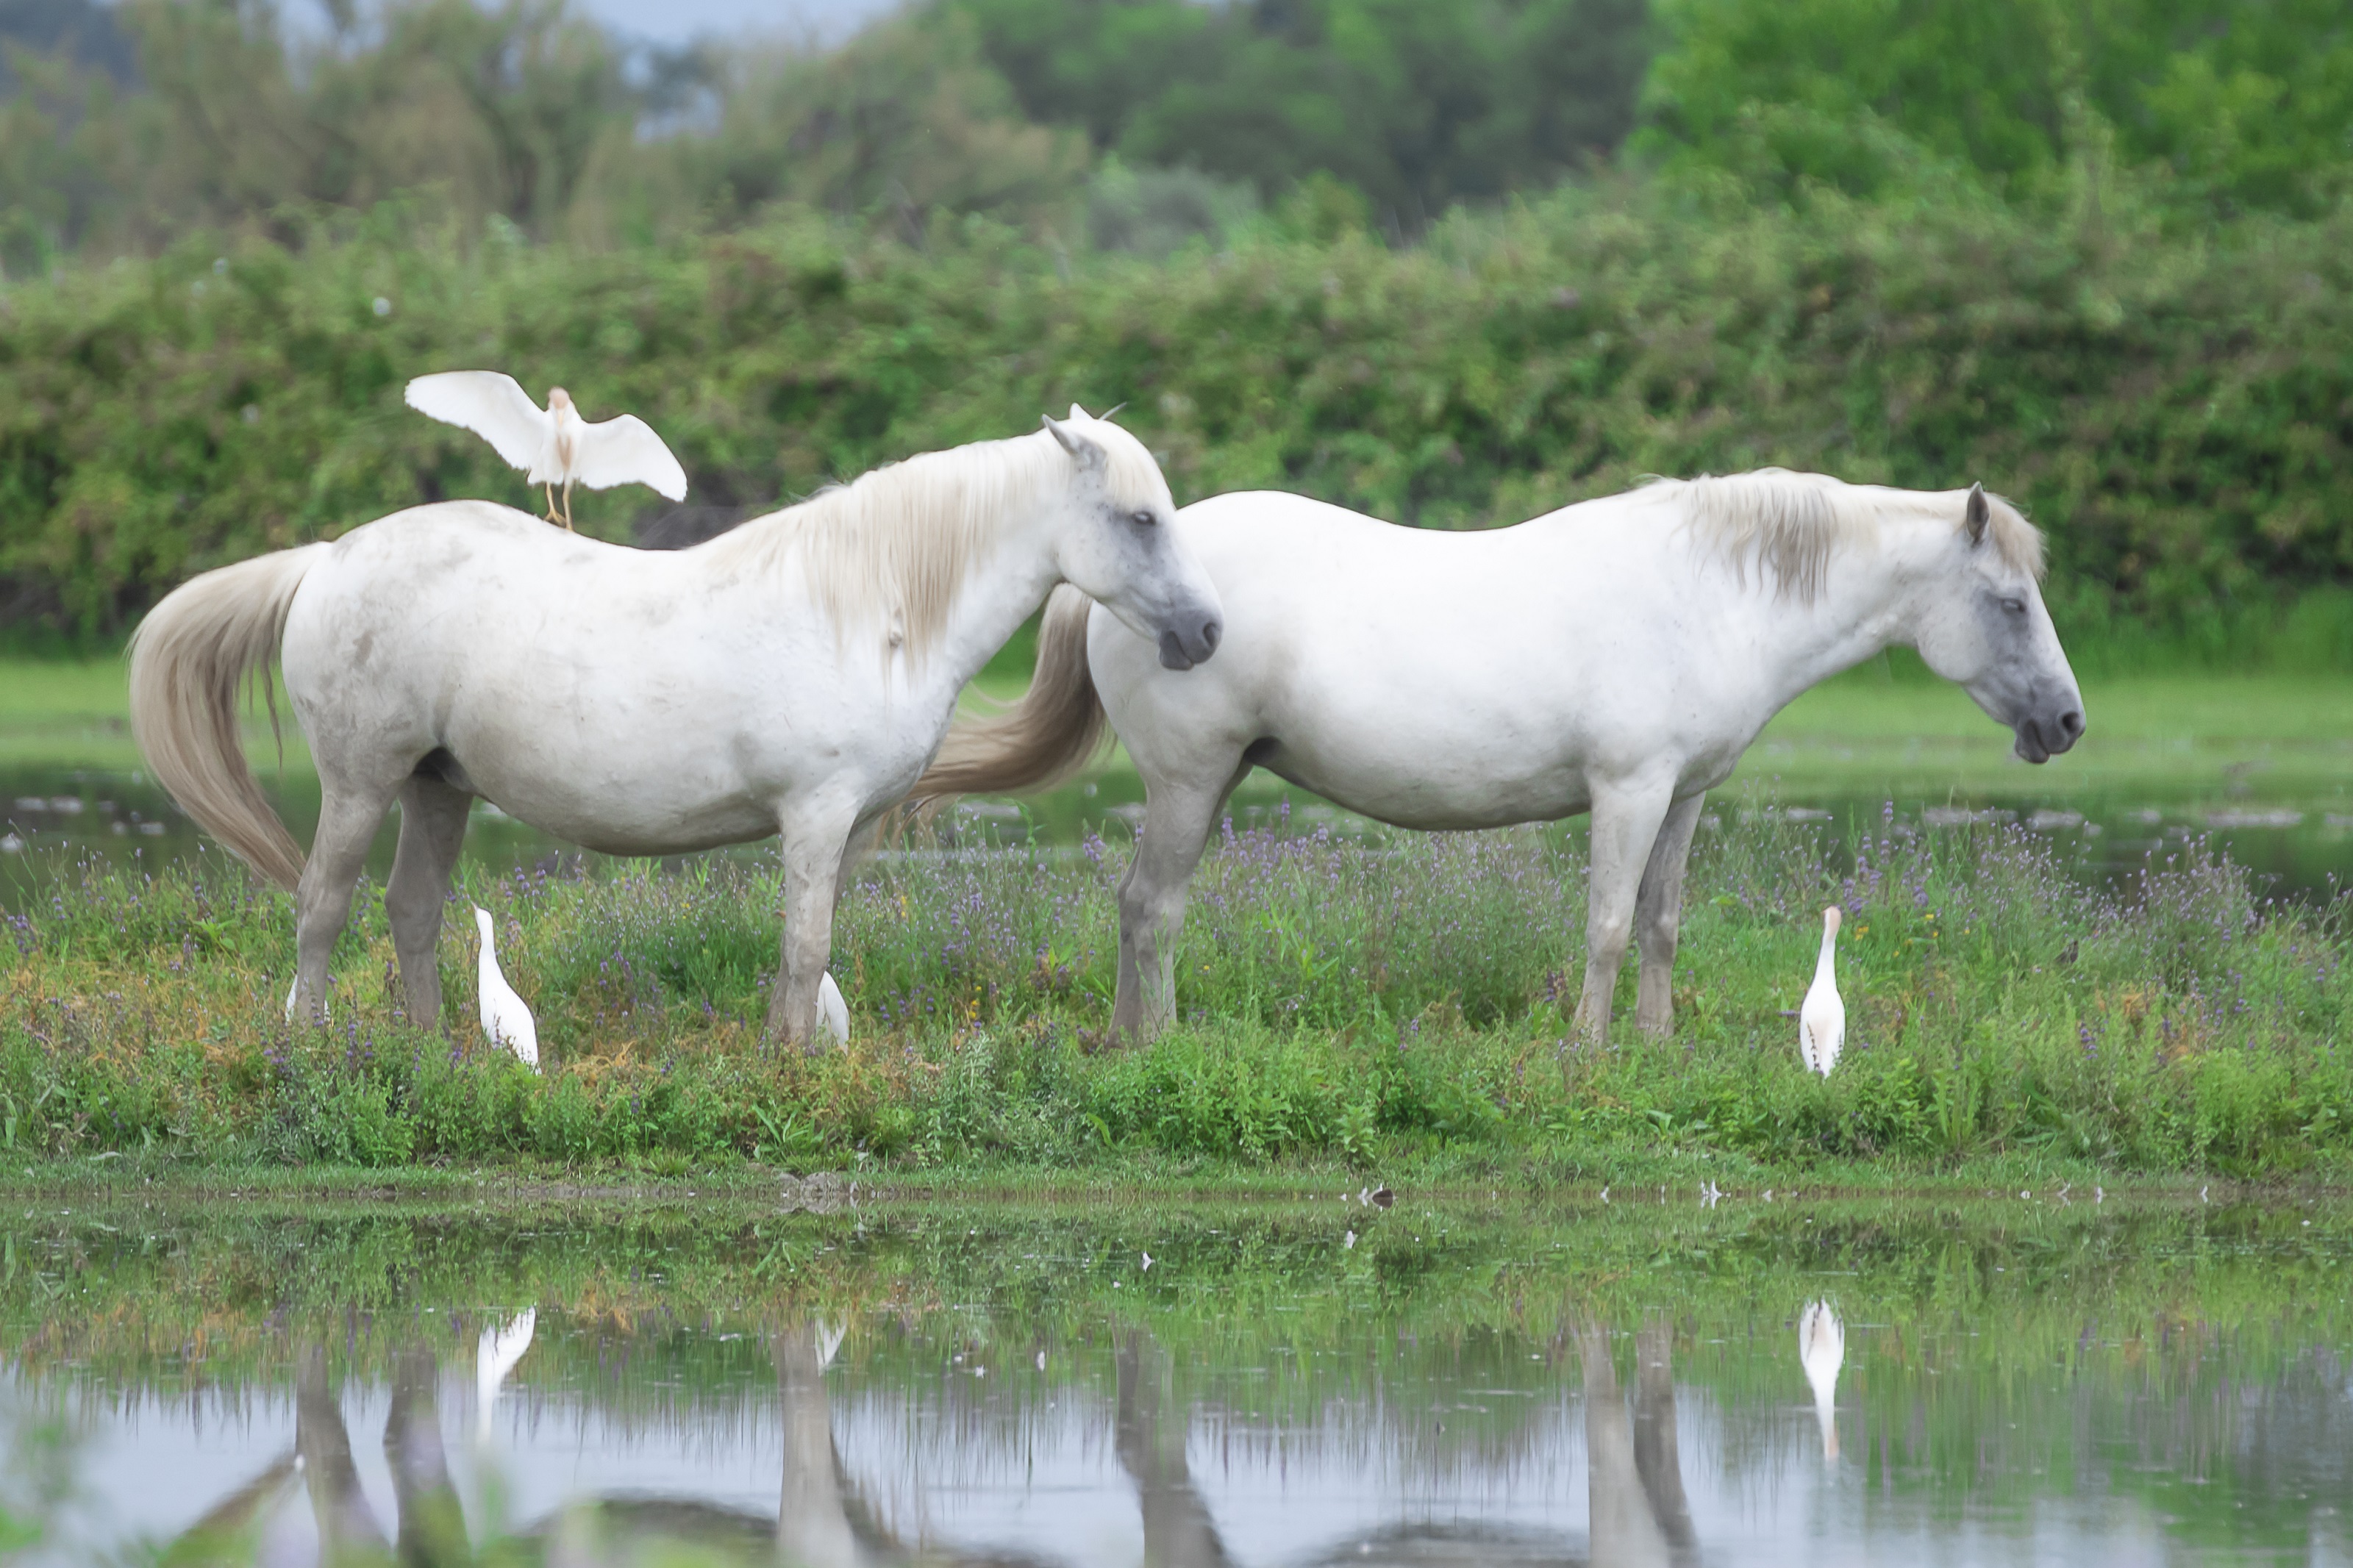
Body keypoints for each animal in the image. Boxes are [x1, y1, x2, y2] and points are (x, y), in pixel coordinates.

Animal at [131, 411, 1224, 1048]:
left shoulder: (848, 829)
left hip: (437, 786)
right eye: (1140, 519)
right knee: (322, 908)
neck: (873, 612)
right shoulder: (817, 815)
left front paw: (790, 1055)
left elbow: (807, 957)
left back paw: (435, 1053)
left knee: (412, 912)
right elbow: (806, 949)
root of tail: (324, 559)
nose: (1207, 632)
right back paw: (310, 1048)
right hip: (360, 784)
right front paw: (791, 1072)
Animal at [908, 474, 2089, 1043]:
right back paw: (1157, 1042)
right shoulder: (1629, 790)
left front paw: (1654, 1042)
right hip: (1189, 784)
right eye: (2009, 601)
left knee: (1136, 908)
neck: (1712, 594)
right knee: (1150, 908)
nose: (2069, 724)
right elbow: (1607, 926)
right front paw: (1587, 1052)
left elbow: (1660, 924)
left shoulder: (1685, 796)